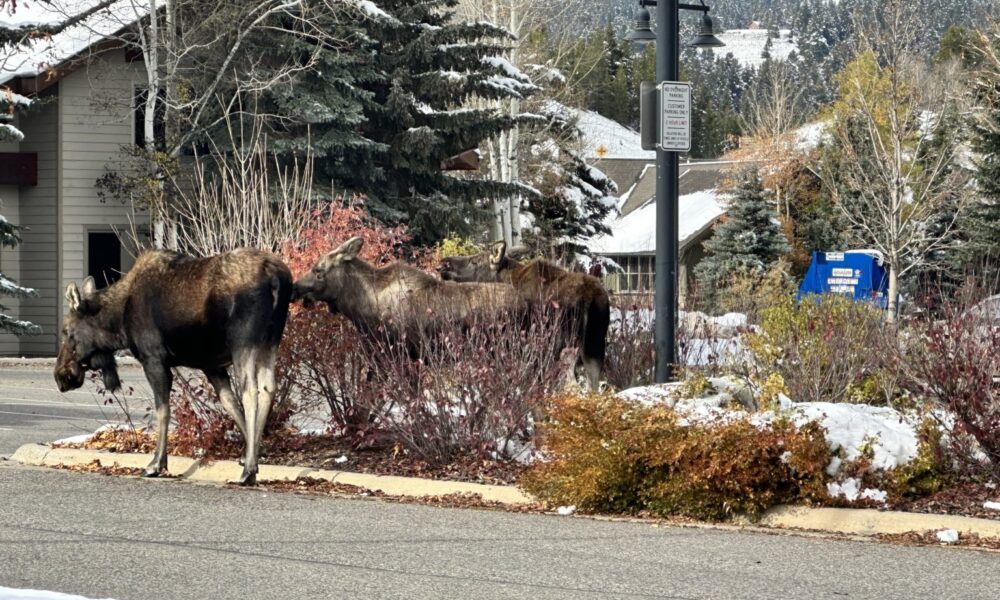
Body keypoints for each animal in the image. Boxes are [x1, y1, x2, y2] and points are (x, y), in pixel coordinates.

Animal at [53, 248, 292, 488]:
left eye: (66, 331)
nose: (60, 376)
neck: (118, 325)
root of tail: (276, 277)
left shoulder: (154, 359)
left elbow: (163, 410)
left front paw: (156, 464)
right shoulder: (211, 365)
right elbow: (230, 403)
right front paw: (253, 454)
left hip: (243, 341)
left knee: (251, 391)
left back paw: (248, 472)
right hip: (271, 339)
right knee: (268, 387)